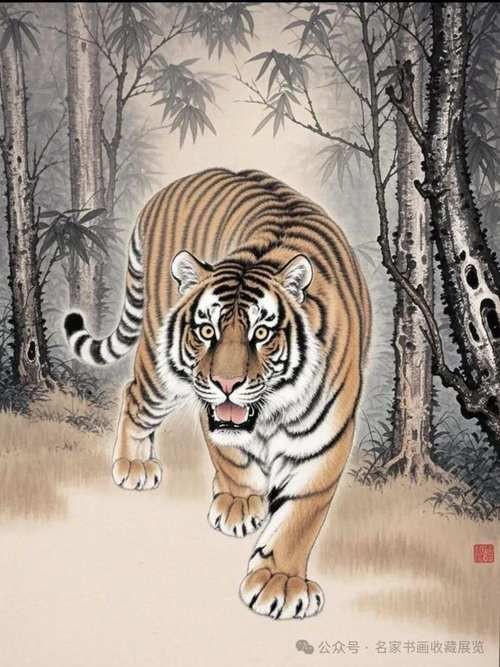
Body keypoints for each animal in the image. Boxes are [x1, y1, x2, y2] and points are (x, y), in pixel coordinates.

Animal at [64, 168, 371, 620]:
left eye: (261, 333)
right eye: (206, 330)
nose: (227, 384)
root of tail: (167, 190)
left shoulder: (326, 439)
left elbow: (301, 515)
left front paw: (281, 581)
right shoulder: (211, 410)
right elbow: (232, 458)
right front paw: (241, 505)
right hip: (158, 376)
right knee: (133, 394)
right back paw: (134, 465)